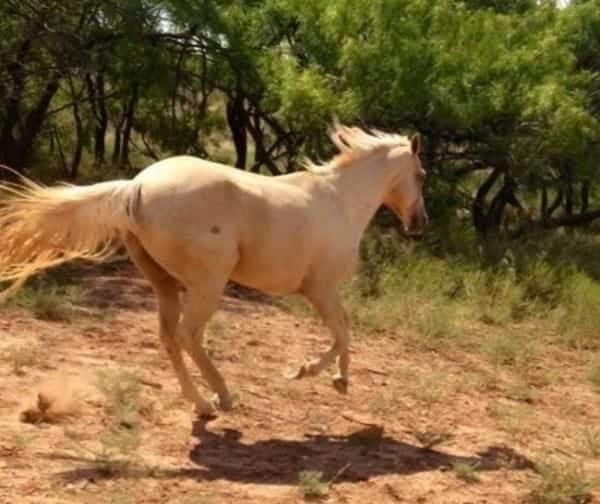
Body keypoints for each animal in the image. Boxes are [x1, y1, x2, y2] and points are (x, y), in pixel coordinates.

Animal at [0, 123, 426, 418]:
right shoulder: (320, 289)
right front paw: (308, 372)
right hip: (208, 282)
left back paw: (202, 404)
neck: (339, 202)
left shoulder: (323, 292)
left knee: (169, 338)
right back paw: (223, 396)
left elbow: (345, 332)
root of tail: (135, 186)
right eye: (421, 175)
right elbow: (342, 333)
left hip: (163, 282)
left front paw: (340, 381)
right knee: (188, 335)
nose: (420, 223)